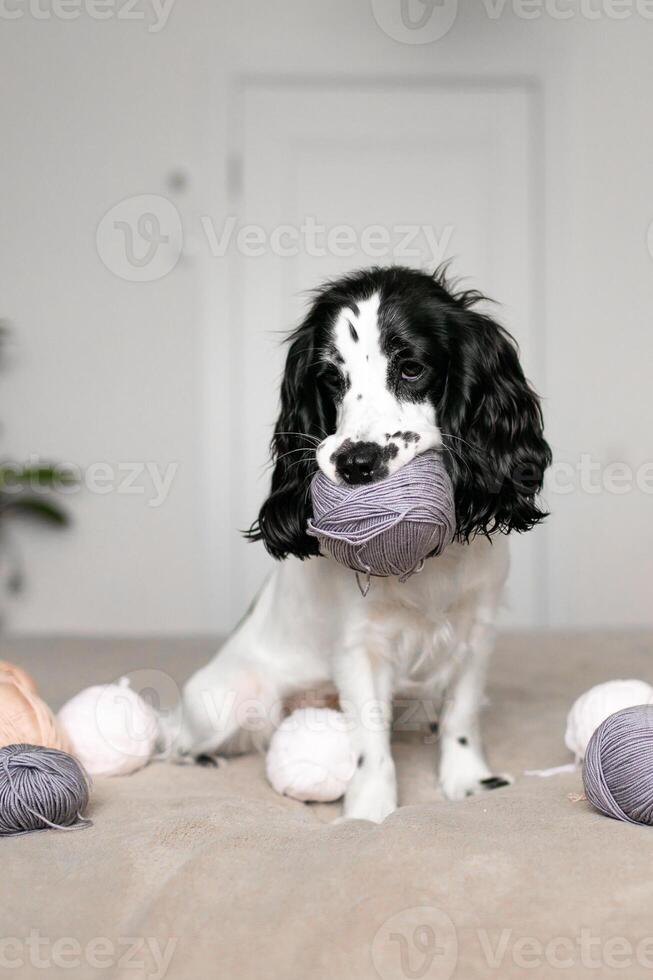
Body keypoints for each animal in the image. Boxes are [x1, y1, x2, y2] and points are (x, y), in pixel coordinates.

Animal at [178, 266, 552, 820]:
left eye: (412, 368)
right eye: (332, 380)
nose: (356, 463)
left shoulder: (476, 630)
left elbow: (462, 713)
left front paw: (468, 782)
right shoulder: (361, 646)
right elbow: (370, 743)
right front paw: (370, 813)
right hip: (220, 701)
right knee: (175, 734)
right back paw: (199, 756)